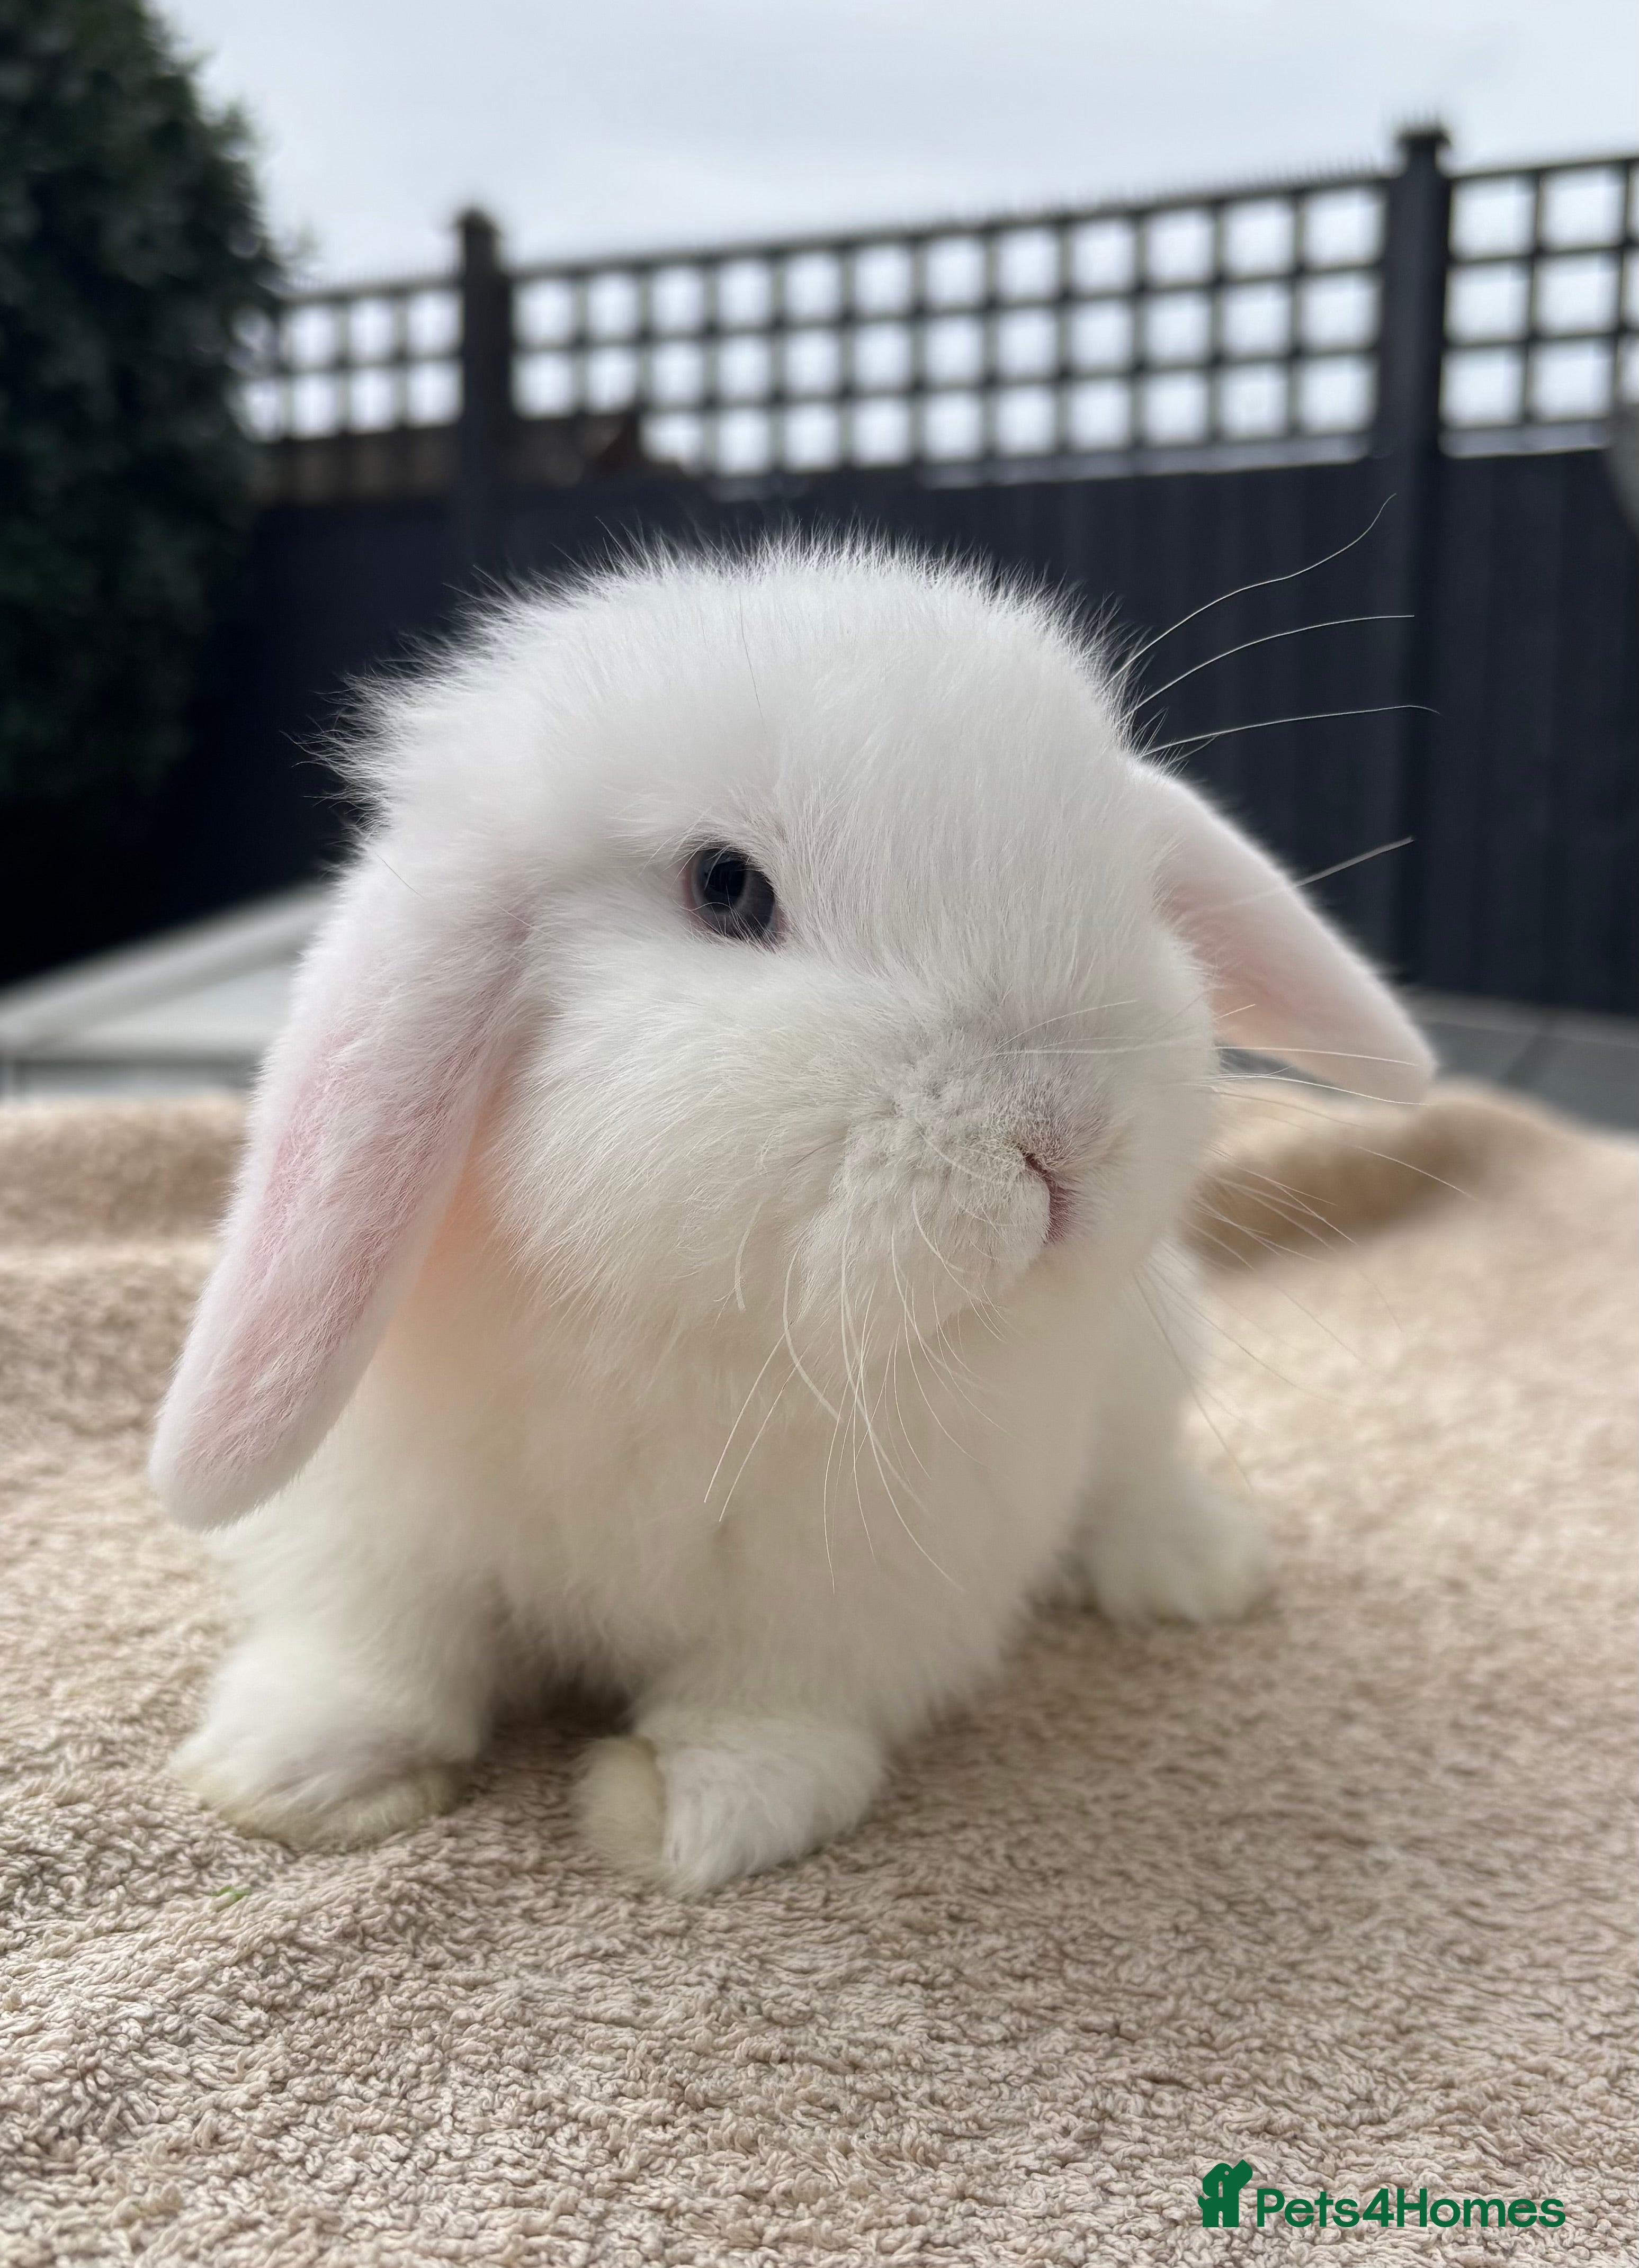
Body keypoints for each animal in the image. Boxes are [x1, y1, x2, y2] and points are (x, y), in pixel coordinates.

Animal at [149, 539, 1432, 1894]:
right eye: (726, 887)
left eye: (1130, 889)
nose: (1066, 1138)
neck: (690, 1330)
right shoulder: (379, 1516)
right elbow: (379, 1642)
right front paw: (298, 1775)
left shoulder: (847, 1591)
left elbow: (771, 1707)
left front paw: (680, 1811)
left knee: (1138, 1476)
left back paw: (1194, 1570)